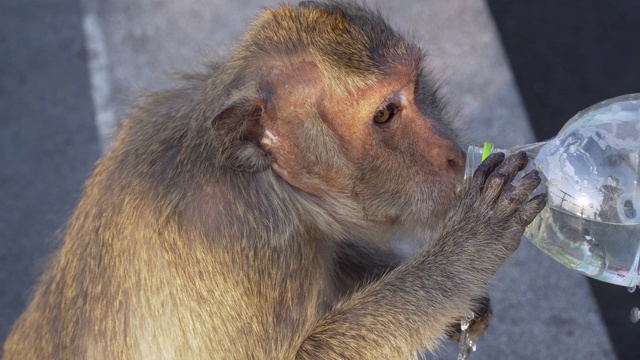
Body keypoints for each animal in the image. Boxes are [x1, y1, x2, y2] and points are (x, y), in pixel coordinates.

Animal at [3, 1, 544, 358]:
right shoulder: (240, 250)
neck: (262, 180)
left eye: (415, 87)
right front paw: (467, 249)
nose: (454, 156)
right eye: (385, 114)